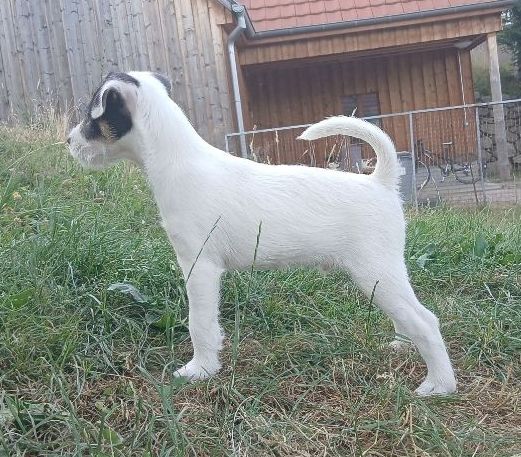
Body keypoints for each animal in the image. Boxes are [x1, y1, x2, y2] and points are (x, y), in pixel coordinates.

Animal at [68, 71, 457, 396]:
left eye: (91, 116)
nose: (68, 140)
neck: (177, 158)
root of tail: (381, 181)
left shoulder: (199, 266)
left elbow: (199, 323)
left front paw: (200, 370)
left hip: (375, 271)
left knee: (427, 322)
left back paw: (439, 385)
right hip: (381, 277)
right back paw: (402, 344)